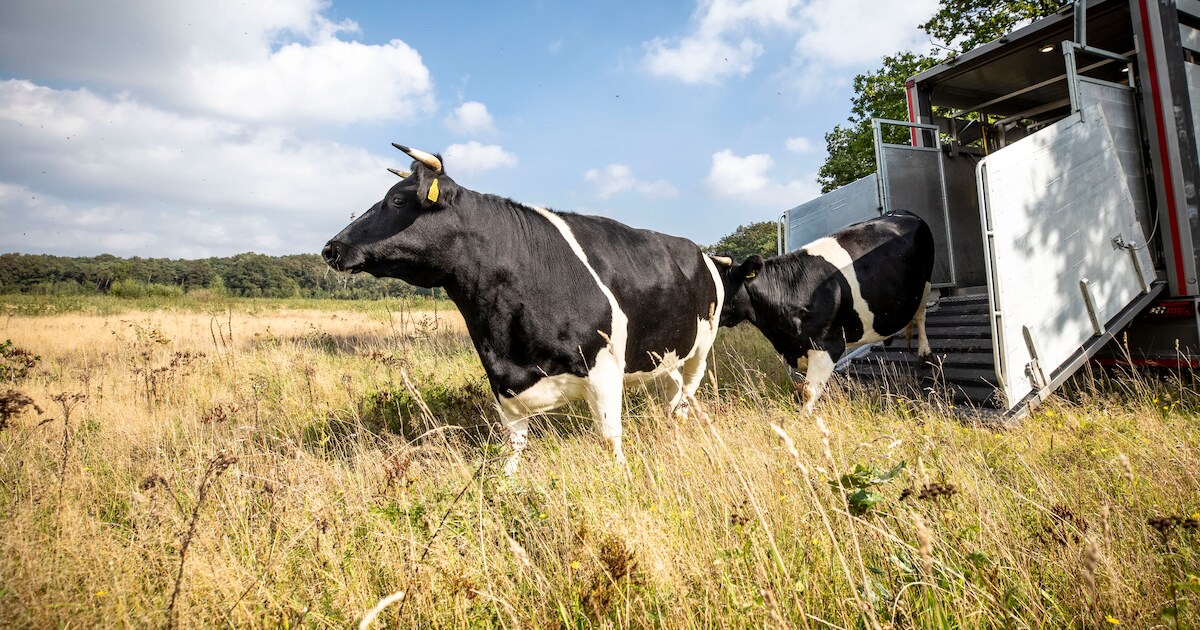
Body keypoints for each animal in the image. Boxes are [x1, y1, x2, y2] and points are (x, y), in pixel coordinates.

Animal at [322, 144, 724, 474]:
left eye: (397, 201)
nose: (331, 248)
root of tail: (698, 249)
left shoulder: (604, 369)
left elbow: (611, 440)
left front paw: (621, 476)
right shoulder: (504, 383)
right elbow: (512, 447)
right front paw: (506, 485)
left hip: (701, 348)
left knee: (688, 391)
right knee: (673, 390)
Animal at [711, 210, 934, 412]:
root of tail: (904, 213)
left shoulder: (826, 345)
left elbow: (809, 392)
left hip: (926, 283)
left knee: (921, 315)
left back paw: (924, 353)